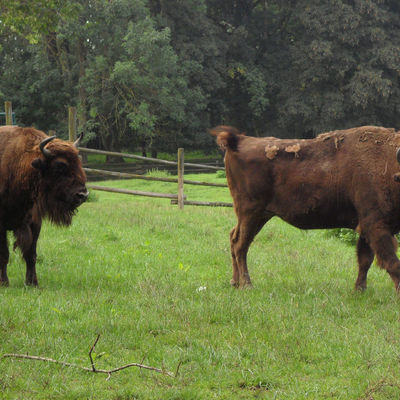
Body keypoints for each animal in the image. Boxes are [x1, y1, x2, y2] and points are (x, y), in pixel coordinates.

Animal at [0, 126, 87, 286]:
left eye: (79, 162)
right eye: (59, 165)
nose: (82, 195)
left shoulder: (35, 223)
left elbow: (31, 254)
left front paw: (32, 283)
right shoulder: (1, 225)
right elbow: (4, 254)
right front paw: (4, 282)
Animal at [212, 125, 400, 290]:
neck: (389, 164)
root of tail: (240, 140)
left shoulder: (366, 227)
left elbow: (365, 260)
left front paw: (359, 289)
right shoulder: (376, 226)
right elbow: (392, 263)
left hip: (258, 215)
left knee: (234, 238)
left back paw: (234, 282)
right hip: (250, 212)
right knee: (240, 245)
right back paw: (247, 285)